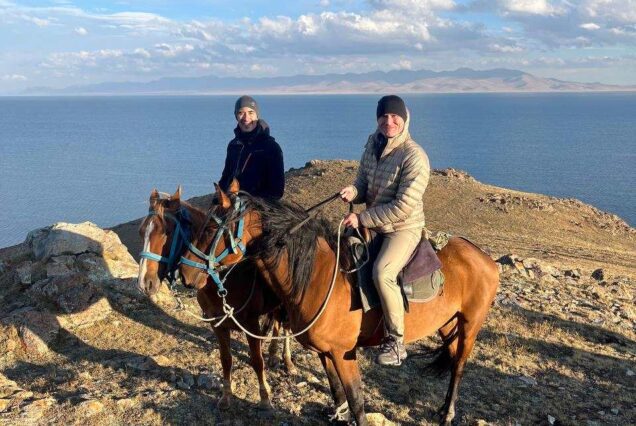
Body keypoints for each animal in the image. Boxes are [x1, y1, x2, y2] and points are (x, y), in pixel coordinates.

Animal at [137, 188, 296, 412]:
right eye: (141, 232)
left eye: (166, 233)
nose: (144, 283)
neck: (222, 280)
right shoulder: (217, 323)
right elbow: (226, 359)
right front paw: (226, 397)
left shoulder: (250, 324)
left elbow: (257, 361)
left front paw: (265, 397)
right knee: (275, 322)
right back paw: (273, 354)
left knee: (286, 326)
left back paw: (287, 360)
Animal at [179, 183, 502, 426]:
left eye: (211, 230)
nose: (184, 273)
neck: (318, 276)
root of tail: (481, 255)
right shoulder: (325, 352)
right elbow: (337, 392)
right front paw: (339, 414)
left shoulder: (344, 353)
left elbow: (357, 401)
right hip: (447, 323)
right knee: (452, 357)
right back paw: (443, 408)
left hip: (471, 324)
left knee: (459, 366)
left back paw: (448, 414)